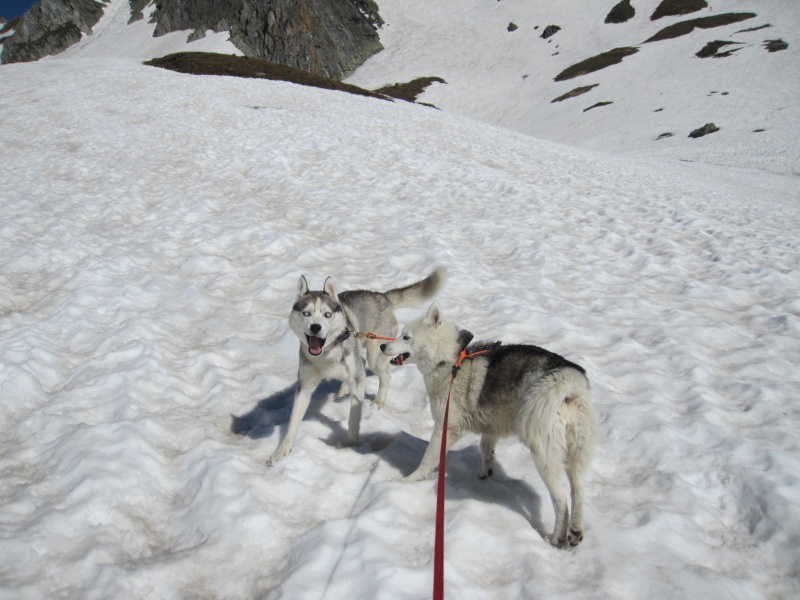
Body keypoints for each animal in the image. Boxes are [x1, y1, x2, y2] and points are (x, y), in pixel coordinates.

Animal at [268, 268, 444, 464]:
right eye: (306, 313)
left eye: (327, 314)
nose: (315, 327)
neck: (327, 355)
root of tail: (381, 296)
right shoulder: (305, 386)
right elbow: (293, 422)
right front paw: (281, 452)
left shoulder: (358, 381)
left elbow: (353, 419)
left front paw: (351, 447)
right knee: (362, 364)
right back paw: (344, 389)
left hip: (376, 354)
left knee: (384, 375)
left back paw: (378, 401)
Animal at [382, 304, 600, 548]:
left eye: (406, 336)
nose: (382, 345)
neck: (451, 361)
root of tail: (570, 380)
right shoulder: (490, 428)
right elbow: (486, 450)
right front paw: (485, 473)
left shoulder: (445, 428)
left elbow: (428, 458)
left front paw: (409, 481)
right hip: (577, 455)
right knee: (578, 493)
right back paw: (575, 532)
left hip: (544, 455)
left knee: (561, 501)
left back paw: (556, 538)